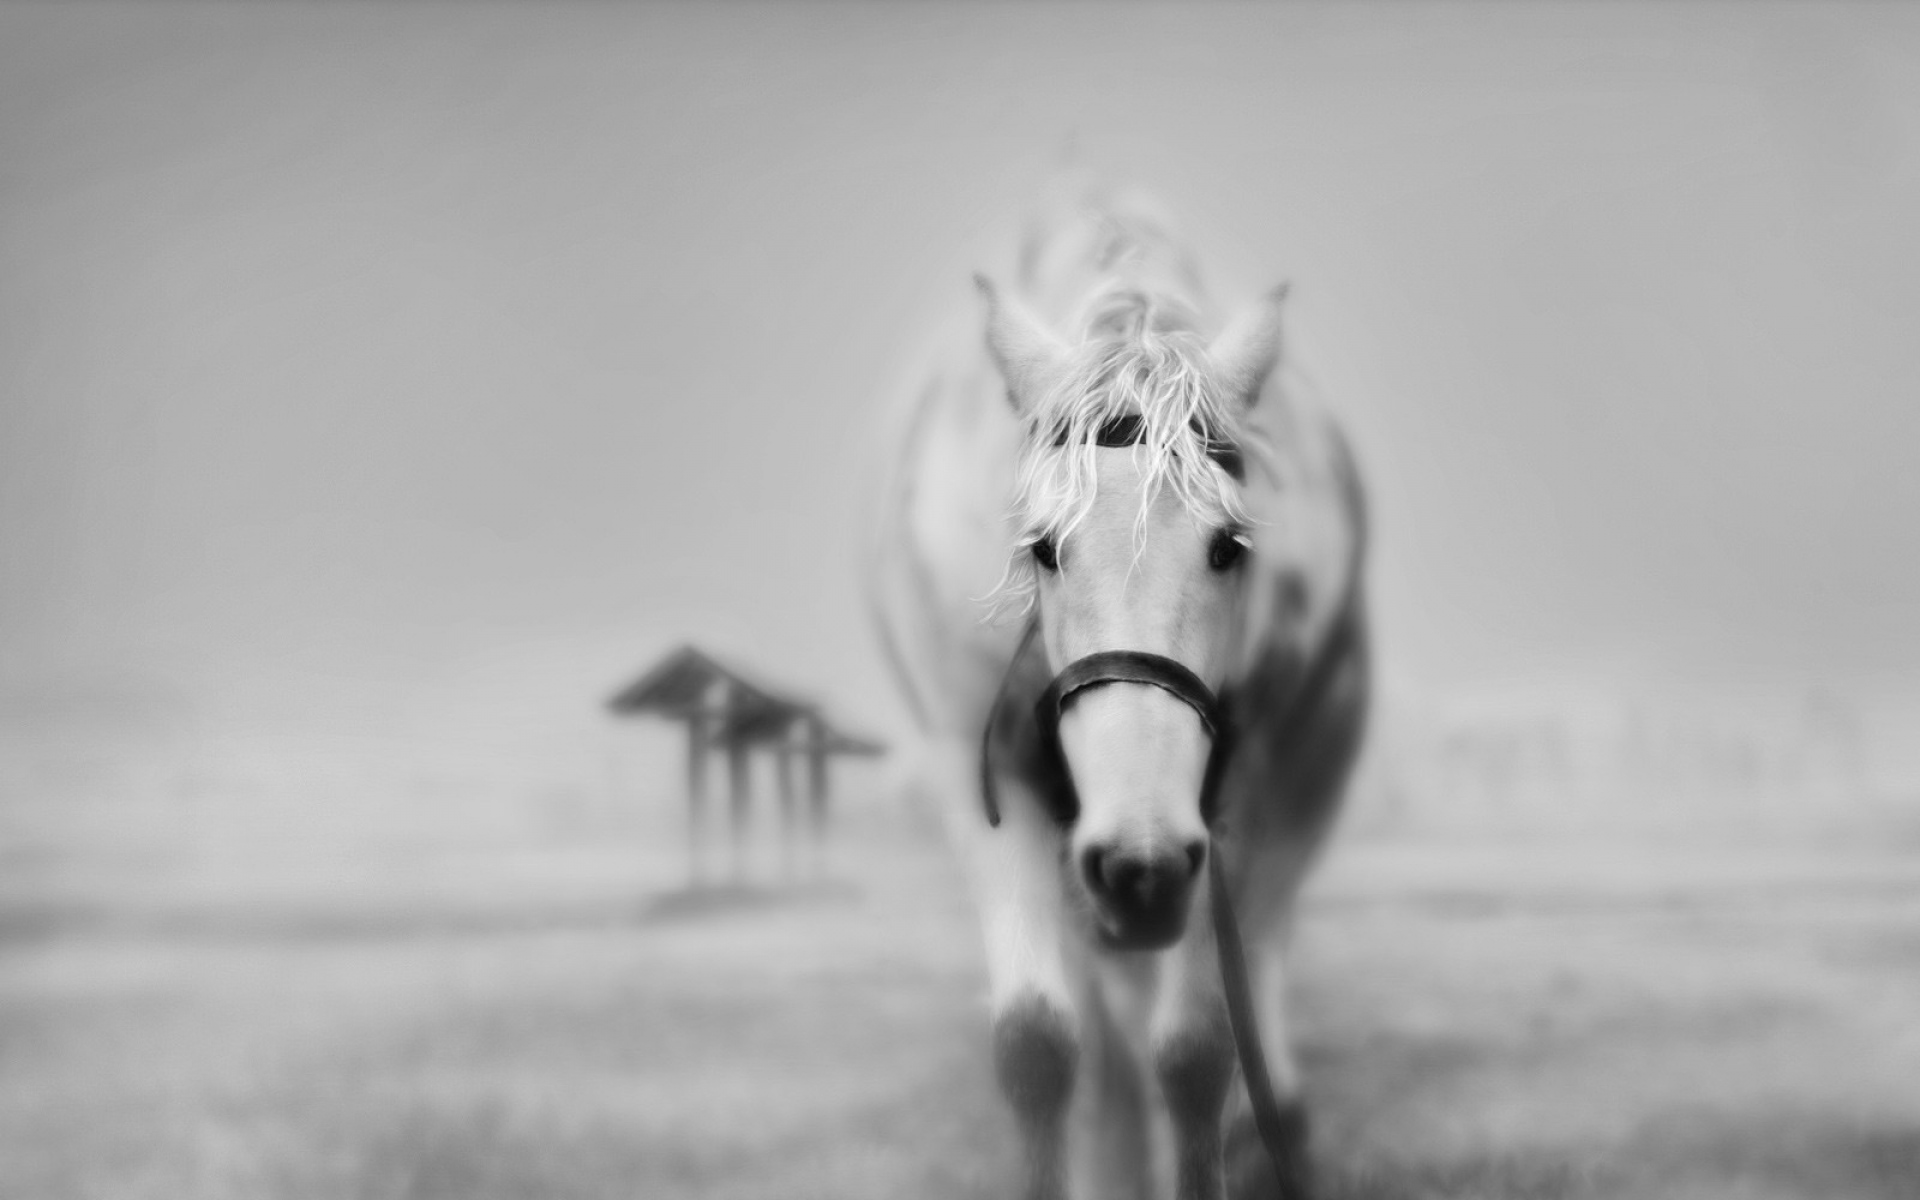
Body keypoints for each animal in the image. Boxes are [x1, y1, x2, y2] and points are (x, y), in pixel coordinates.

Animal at [864, 183, 1370, 1200]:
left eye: (1230, 546)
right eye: (1040, 547)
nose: (1139, 866)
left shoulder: (1240, 789)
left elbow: (1198, 1051)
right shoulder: (981, 778)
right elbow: (1038, 1044)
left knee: (1261, 949)